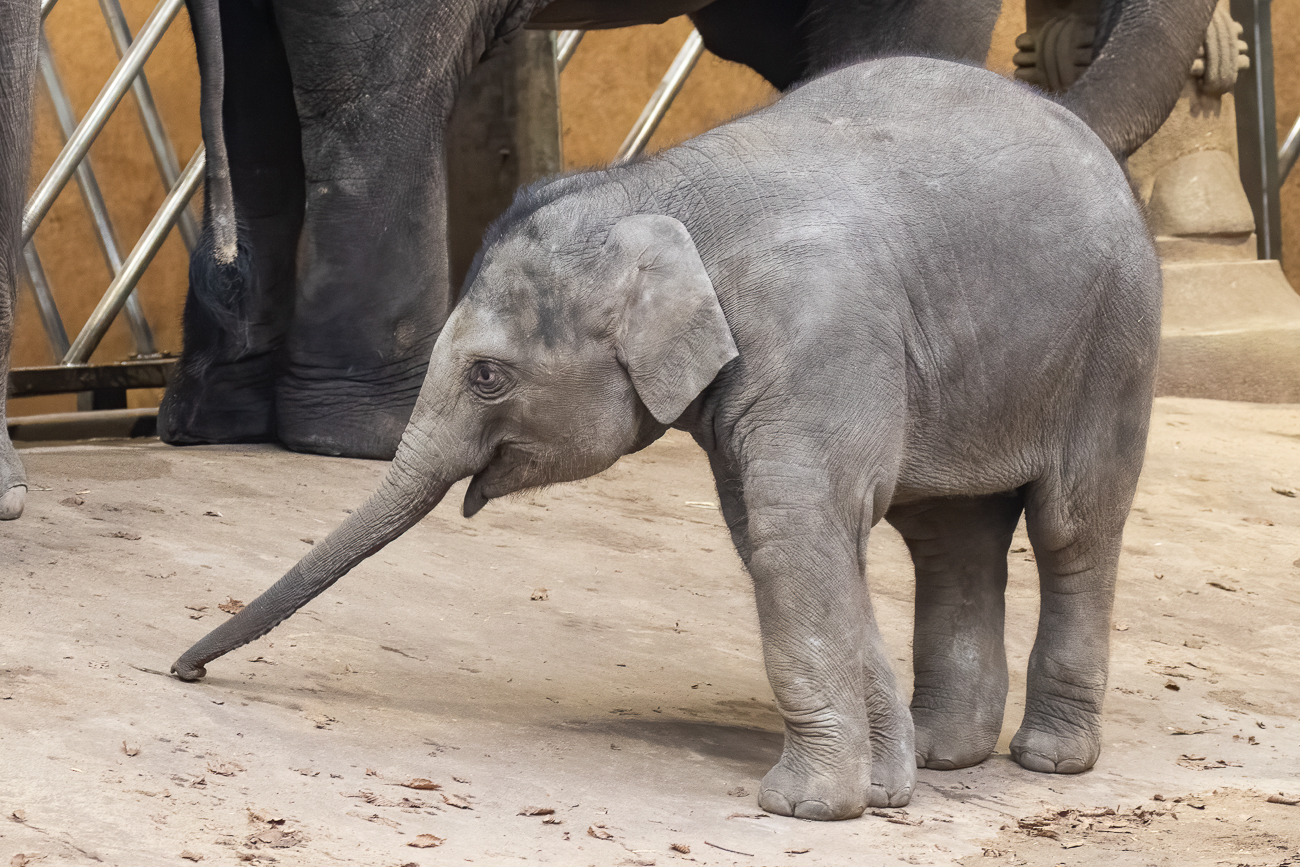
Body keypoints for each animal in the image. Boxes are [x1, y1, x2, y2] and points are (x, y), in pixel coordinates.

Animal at [172, 55, 1159, 821]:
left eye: (488, 375)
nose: (184, 673)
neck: (654, 187)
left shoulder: (820, 335)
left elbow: (797, 531)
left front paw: (805, 808)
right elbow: (778, 537)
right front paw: (885, 789)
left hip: (1115, 345)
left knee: (1074, 529)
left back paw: (1048, 758)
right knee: (951, 537)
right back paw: (952, 752)